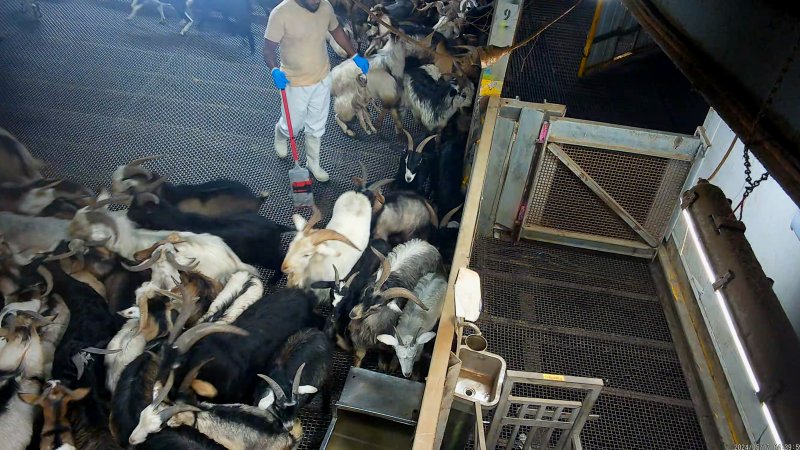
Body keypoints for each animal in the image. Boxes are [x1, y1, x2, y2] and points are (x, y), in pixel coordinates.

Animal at [128, 192, 294, 284]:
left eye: (137, 208)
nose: (128, 214)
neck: (174, 218)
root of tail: (276, 226)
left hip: (267, 257)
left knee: (281, 262)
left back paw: (273, 281)